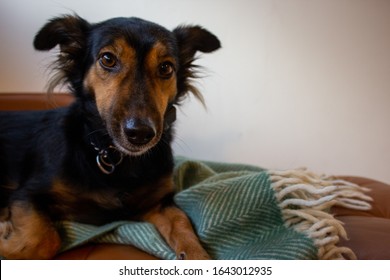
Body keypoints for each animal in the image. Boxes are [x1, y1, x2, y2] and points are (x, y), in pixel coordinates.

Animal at [0, 14, 219, 260]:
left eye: (166, 68)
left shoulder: (158, 204)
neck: (114, 156)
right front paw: (4, 235)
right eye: (108, 59)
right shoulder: (27, 193)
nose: (140, 134)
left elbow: (182, 222)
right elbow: (42, 240)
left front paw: (198, 255)